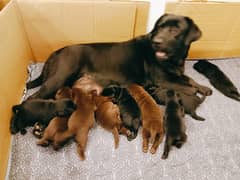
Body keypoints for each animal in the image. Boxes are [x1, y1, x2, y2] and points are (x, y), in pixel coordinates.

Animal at [26, 13, 211, 99]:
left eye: (174, 30)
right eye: (158, 27)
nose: (156, 41)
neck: (173, 59)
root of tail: (54, 53)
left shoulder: (176, 73)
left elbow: (189, 79)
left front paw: (204, 87)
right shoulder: (163, 80)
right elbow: (188, 86)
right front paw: (196, 90)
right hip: (60, 76)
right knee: (32, 98)